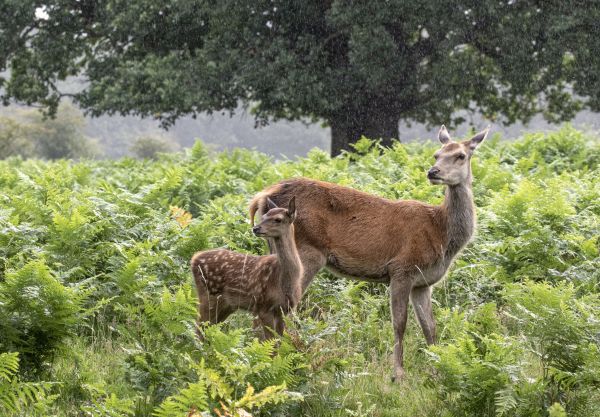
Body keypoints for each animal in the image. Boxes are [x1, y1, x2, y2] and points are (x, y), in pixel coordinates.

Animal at [191, 197, 302, 338]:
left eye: (278, 219)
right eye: (264, 216)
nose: (256, 228)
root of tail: (194, 258)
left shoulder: (283, 311)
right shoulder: (263, 306)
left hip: (227, 305)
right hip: (208, 295)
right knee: (199, 330)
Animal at [251, 125, 490, 378]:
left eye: (460, 155)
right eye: (437, 154)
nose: (433, 171)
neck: (442, 234)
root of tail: (262, 197)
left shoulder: (423, 283)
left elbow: (430, 327)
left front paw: (438, 367)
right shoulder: (402, 268)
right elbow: (400, 323)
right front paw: (398, 373)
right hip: (307, 253)